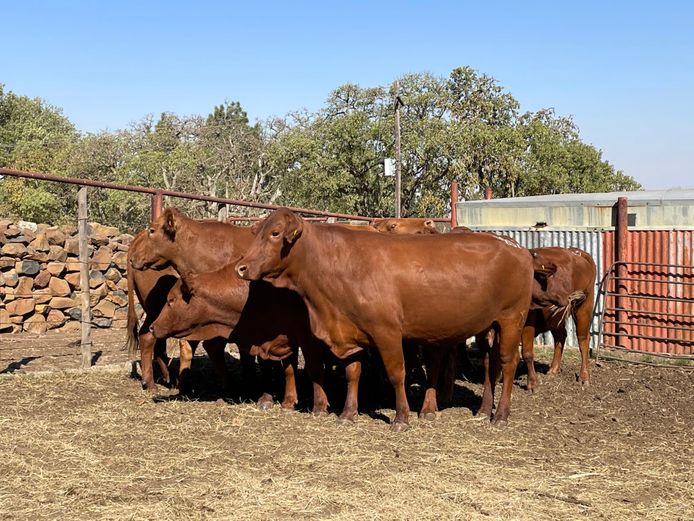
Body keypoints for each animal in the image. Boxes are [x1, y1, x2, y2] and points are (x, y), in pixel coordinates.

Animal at [235, 208, 535, 431]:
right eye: (256, 232)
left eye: (275, 233)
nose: (241, 267)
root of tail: (515, 246)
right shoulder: (351, 332)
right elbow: (352, 373)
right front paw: (348, 413)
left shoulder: (387, 332)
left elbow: (396, 373)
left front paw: (401, 417)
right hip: (489, 327)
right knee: (490, 365)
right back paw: (484, 410)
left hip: (512, 318)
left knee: (508, 363)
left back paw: (501, 415)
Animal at [521, 247, 596, 391]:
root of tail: (575, 251)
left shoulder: (527, 322)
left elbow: (527, 352)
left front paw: (532, 383)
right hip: (555, 318)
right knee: (561, 336)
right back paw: (554, 369)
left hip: (584, 306)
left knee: (583, 340)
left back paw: (584, 376)